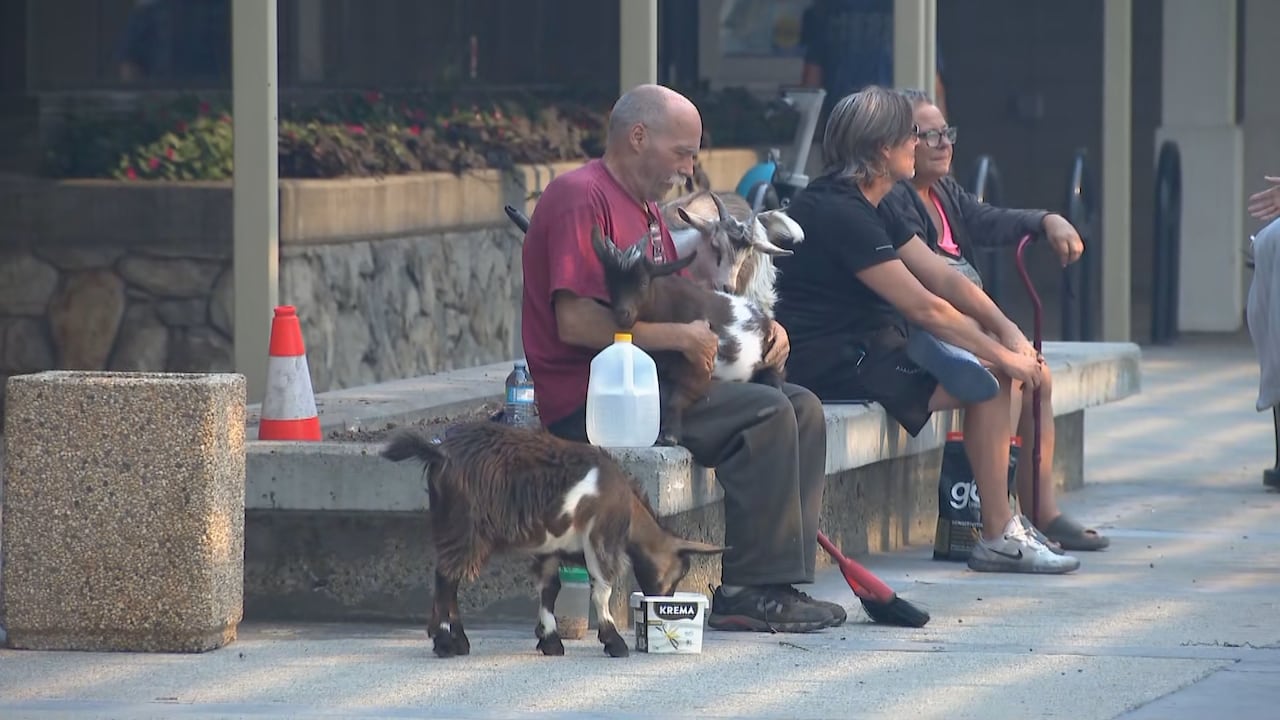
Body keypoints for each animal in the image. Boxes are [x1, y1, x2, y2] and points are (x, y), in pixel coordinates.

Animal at [381, 421, 725, 659]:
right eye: (679, 571)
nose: (662, 602)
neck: (625, 506)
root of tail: (439, 452)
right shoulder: (600, 539)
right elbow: (602, 588)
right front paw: (613, 641)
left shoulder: (549, 547)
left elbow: (549, 588)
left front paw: (549, 639)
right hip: (465, 529)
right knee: (447, 579)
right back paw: (446, 642)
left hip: (450, 525)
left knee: (446, 579)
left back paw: (456, 641)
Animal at [590, 225, 784, 446]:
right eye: (609, 282)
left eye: (643, 283)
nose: (622, 313)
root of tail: (761, 313)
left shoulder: (701, 365)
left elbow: (680, 396)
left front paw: (669, 434)